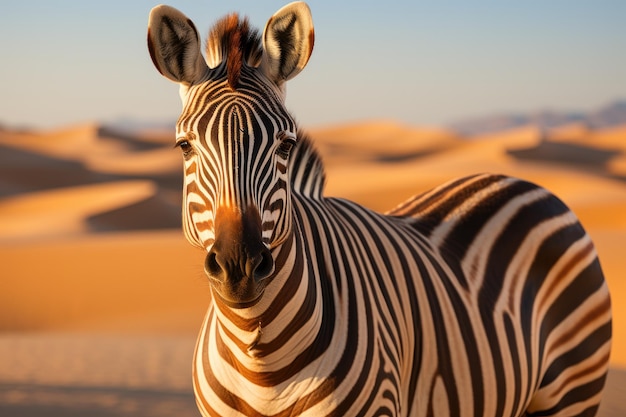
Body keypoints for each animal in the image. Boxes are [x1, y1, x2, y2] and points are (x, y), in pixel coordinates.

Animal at [147, 1, 608, 414]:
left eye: (285, 145)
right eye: (184, 146)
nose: (239, 266)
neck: (259, 359)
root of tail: (526, 182)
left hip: (575, 386)